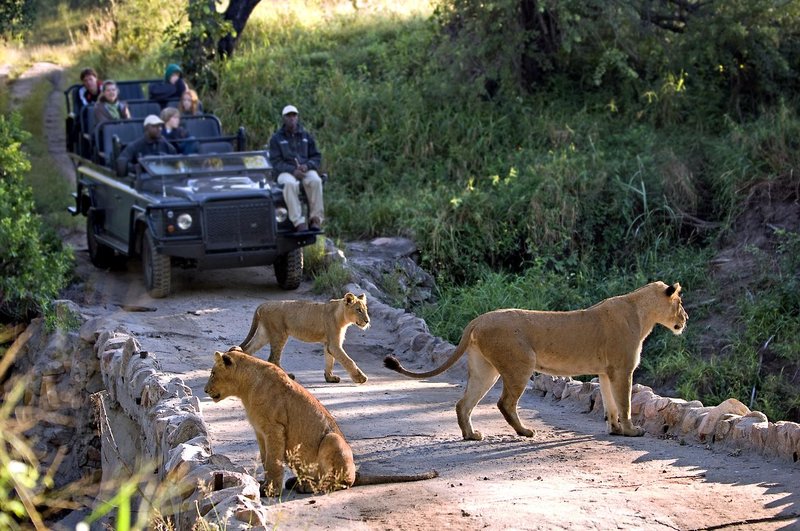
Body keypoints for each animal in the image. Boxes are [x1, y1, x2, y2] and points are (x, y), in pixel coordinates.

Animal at [204, 347, 438, 496]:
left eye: (213, 373)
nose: (205, 390)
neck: (246, 388)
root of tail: (357, 472)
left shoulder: (274, 429)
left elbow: (273, 462)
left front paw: (270, 490)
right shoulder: (260, 432)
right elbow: (265, 460)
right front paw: (265, 484)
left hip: (332, 439)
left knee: (344, 482)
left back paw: (311, 487)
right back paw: (300, 483)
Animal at [238, 292, 370, 384]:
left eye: (366, 310)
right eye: (358, 310)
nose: (367, 321)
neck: (341, 315)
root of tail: (262, 305)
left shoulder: (328, 343)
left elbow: (329, 361)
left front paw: (330, 377)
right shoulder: (334, 344)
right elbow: (348, 360)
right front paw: (361, 378)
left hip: (264, 334)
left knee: (248, 349)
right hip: (279, 334)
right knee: (273, 358)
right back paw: (287, 375)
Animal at [384, 281, 688, 441]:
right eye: (681, 303)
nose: (686, 318)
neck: (642, 312)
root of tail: (478, 319)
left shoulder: (605, 372)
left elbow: (611, 404)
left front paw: (614, 429)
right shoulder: (622, 369)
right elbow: (624, 402)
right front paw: (631, 430)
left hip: (485, 370)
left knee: (464, 403)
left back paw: (472, 435)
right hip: (520, 365)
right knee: (504, 403)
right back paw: (524, 431)